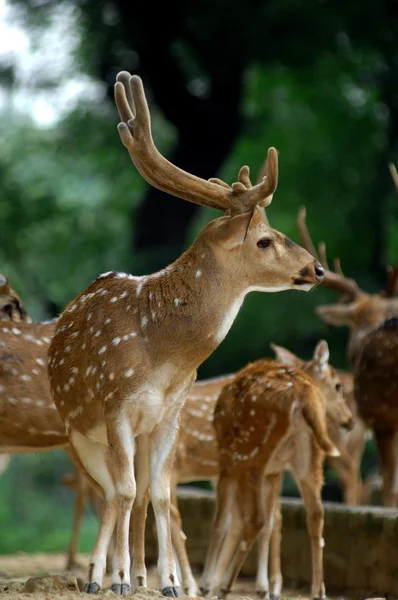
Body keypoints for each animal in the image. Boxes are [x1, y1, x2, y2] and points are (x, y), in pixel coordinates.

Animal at [47, 70, 324, 596]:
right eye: (264, 240)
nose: (317, 268)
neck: (165, 358)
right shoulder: (115, 405)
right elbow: (126, 491)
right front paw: (117, 580)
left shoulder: (168, 414)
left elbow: (156, 494)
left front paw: (170, 583)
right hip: (77, 432)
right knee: (108, 491)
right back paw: (97, 575)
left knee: (132, 495)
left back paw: (135, 573)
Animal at [199, 342, 352, 600]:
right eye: (337, 385)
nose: (350, 420)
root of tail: (304, 395)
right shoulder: (275, 471)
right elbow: (271, 522)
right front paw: (265, 587)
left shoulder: (227, 462)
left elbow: (221, 522)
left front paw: (207, 584)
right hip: (308, 457)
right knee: (316, 513)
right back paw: (318, 591)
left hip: (250, 451)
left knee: (255, 519)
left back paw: (225, 585)